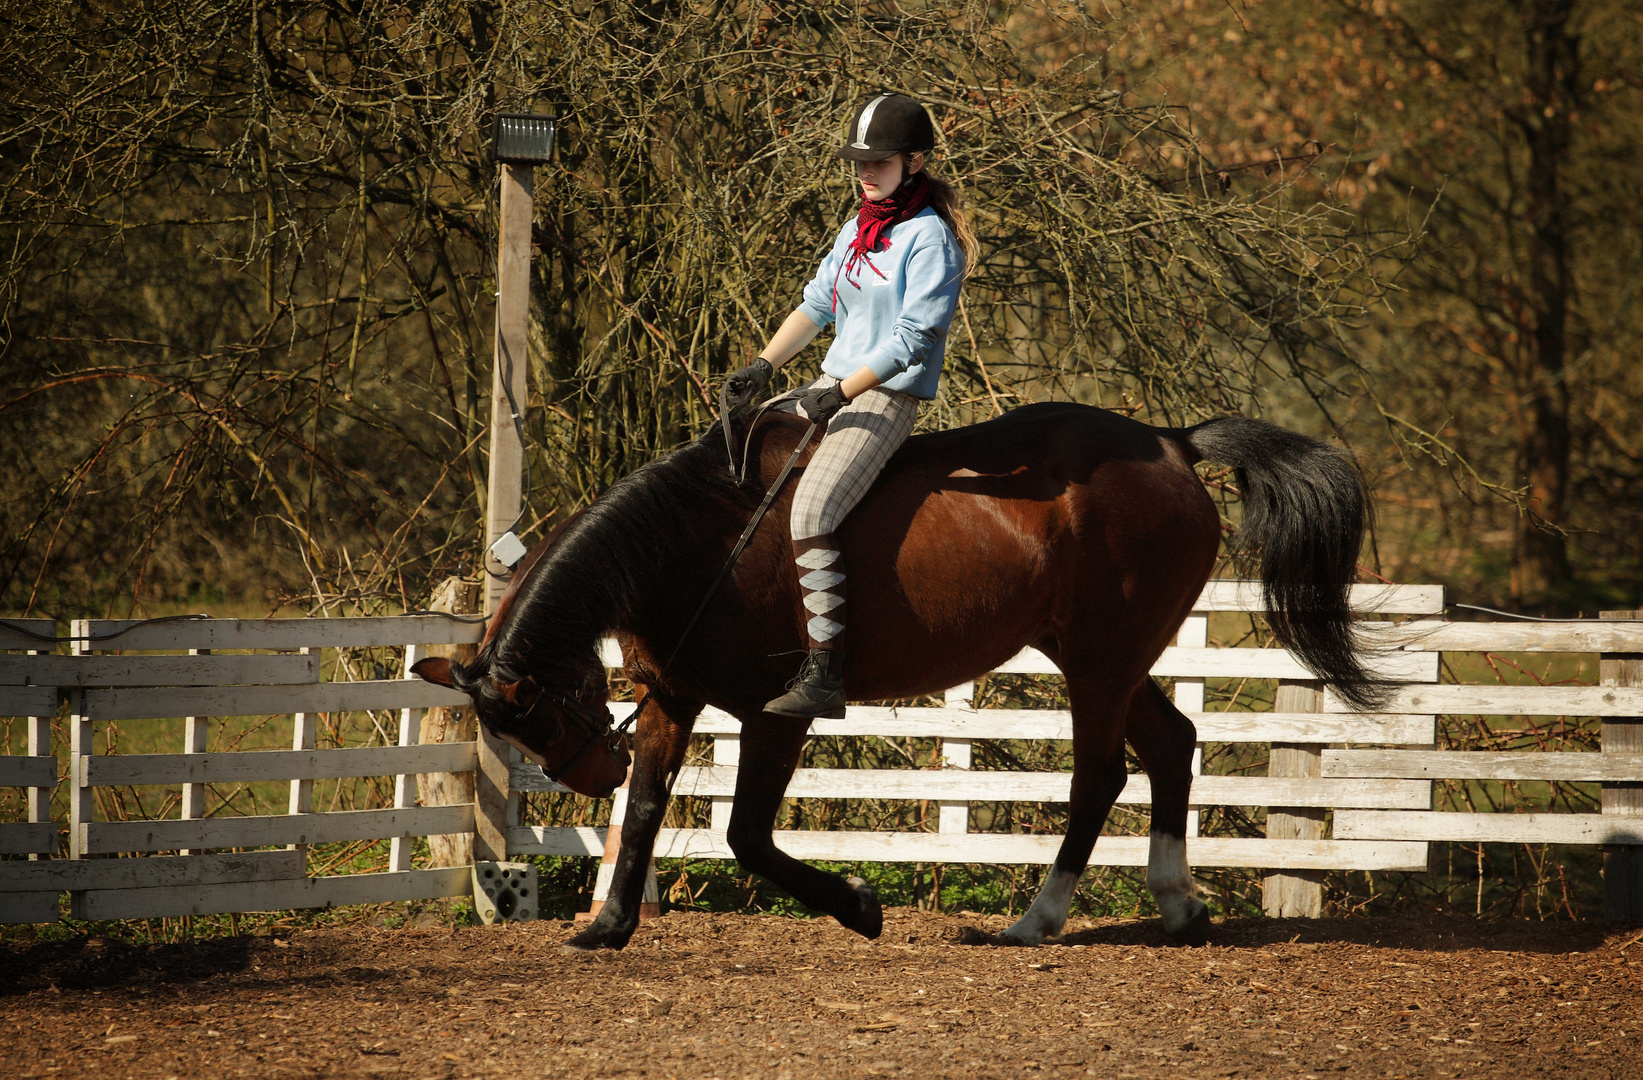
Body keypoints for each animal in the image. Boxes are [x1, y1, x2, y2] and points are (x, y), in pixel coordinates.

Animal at [417, 399, 1380, 946]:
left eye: (545, 711)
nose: (591, 776)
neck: (698, 540)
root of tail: (1169, 444)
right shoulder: (673, 698)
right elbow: (650, 807)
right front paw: (611, 926)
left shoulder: (774, 714)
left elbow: (747, 836)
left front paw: (857, 907)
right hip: (1102, 656)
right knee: (1172, 745)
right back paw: (1177, 909)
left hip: (1100, 663)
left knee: (1100, 775)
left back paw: (1036, 922)